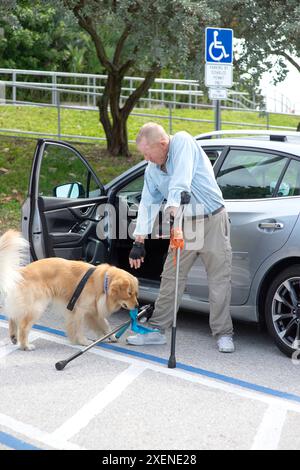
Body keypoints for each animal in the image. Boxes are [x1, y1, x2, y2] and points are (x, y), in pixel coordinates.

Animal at [0, 229, 138, 350]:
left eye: (136, 294)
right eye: (129, 293)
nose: (137, 306)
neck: (104, 281)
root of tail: (22, 271)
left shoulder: (93, 311)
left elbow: (105, 324)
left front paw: (112, 336)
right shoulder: (80, 310)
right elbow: (79, 328)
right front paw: (83, 341)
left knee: (13, 316)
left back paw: (13, 336)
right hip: (37, 306)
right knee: (23, 326)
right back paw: (25, 346)